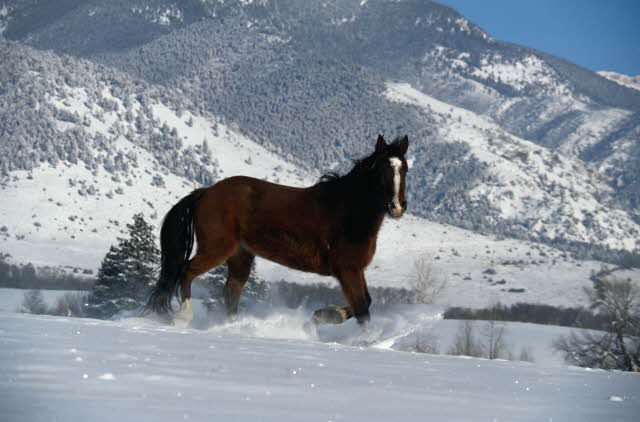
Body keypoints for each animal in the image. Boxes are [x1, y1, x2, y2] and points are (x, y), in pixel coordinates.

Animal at [144, 134, 409, 327]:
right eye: (382, 170)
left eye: (404, 169)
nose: (397, 207)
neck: (348, 210)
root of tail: (206, 192)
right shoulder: (348, 269)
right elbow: (363, 309)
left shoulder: (354, 270)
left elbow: (365, 303)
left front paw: (323, 315)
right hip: (217, 248)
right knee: (187, 271)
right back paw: (184, 317)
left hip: (240, 255)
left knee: (231, 291)